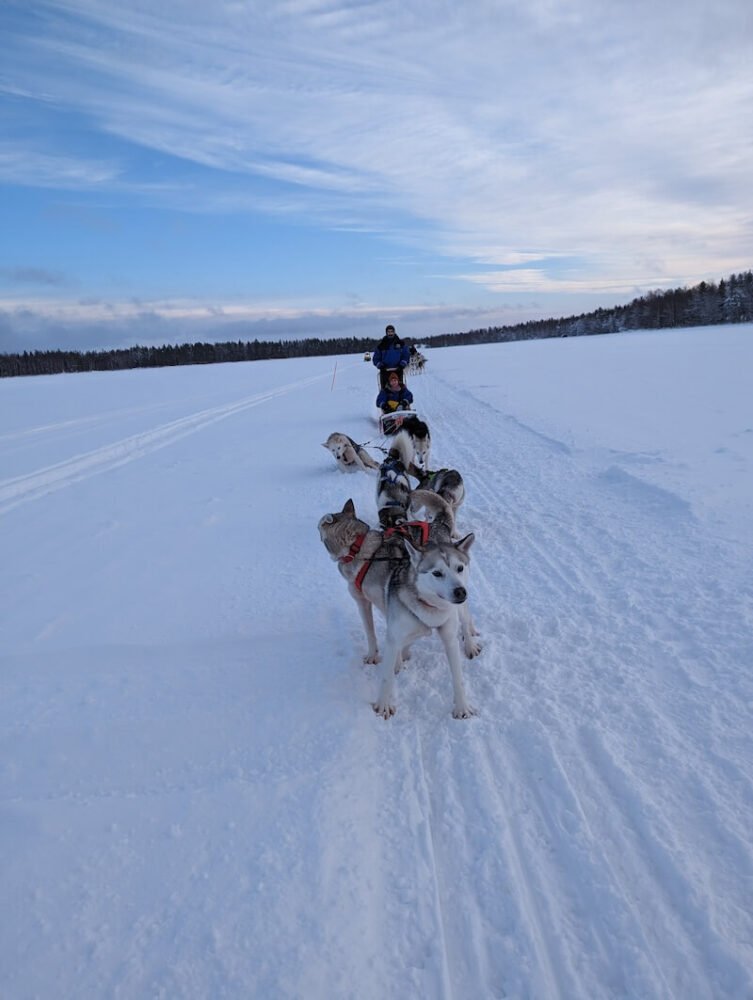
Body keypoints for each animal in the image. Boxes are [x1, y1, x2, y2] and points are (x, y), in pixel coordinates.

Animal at [318, 500, 476, 720]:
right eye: (436, 573)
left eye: (459, 568)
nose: (460, 592)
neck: (360, 549)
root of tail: (438, 523)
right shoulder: (387, 610)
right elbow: (390, 644)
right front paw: (398, 662)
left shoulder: (365, 602)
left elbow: (371, 635)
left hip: (459, 602)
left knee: (466, 617)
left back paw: (470, 644)